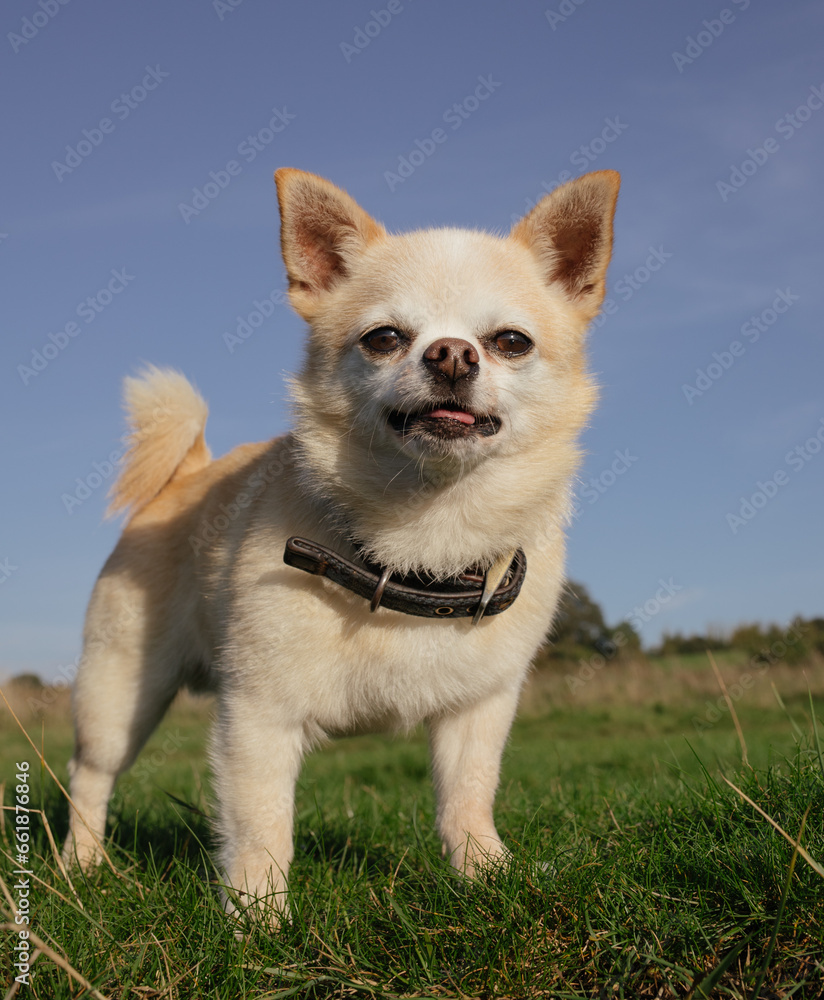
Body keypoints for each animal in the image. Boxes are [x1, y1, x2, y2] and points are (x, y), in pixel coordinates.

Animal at [62, 168, 616, 924]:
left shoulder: (478, 713)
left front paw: (486, 876)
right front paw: (260, 921)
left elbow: (468, 798)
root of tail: (188, 471)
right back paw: (81, 867)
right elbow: (261, 825)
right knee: (89, 778)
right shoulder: (257, 719)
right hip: (119, 697)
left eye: (511, 342)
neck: (424, 543)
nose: (452, 353)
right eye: (383, 338)